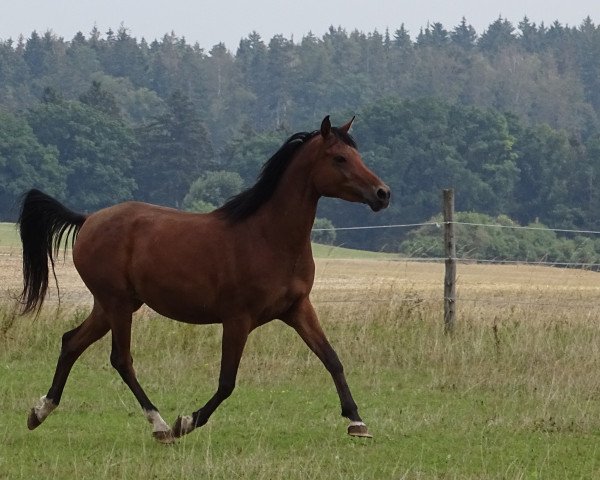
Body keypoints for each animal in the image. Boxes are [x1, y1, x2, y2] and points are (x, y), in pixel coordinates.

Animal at [18, 115, 392, 442]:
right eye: (339, 158)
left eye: (357, 155)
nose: (382, 193)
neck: (268, 237)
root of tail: (88, 220)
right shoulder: (238, 319)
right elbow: (227, 382)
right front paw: (186, 421)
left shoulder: (298, 309)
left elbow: (332, 359)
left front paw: (357, 422)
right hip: (118, 305)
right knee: (121, 360)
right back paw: (160, 425)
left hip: (111, 306)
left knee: (71, 342)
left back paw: (39, 411)